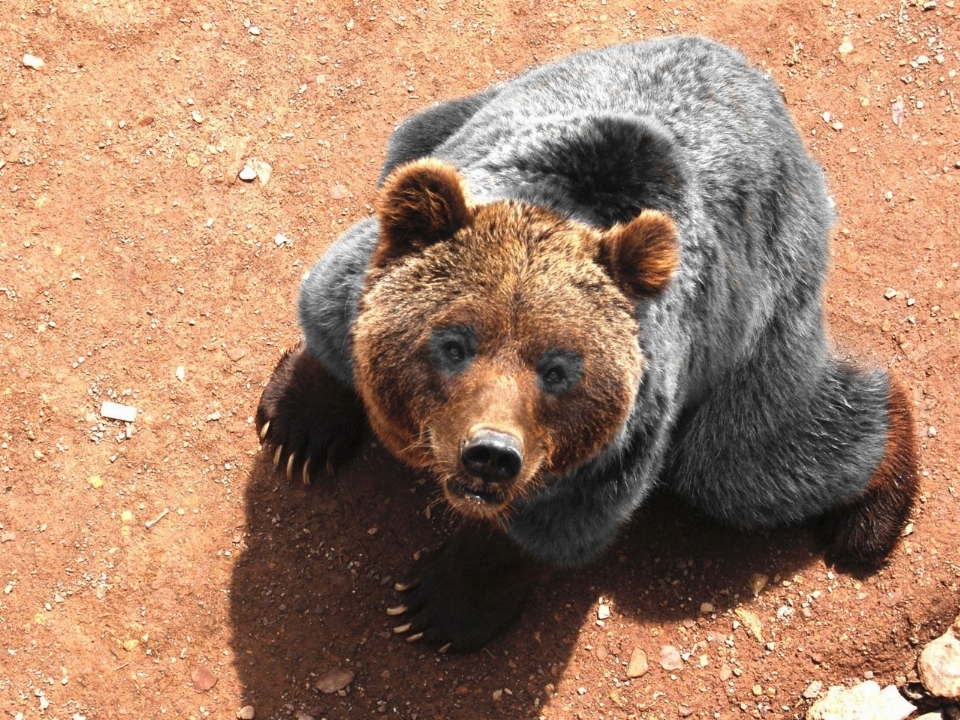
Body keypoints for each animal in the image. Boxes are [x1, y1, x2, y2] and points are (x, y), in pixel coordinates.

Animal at [258, 33, 920, 652]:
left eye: (558, 370)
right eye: (452, 345)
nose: (490, 454)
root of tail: (752, 76)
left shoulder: (626, 427)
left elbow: (556, 522)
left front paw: (439, 607)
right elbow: (332, 317)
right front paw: (299, 428)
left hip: (761, 303)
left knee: (743, 457)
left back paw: (873, 510)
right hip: (454, 114)